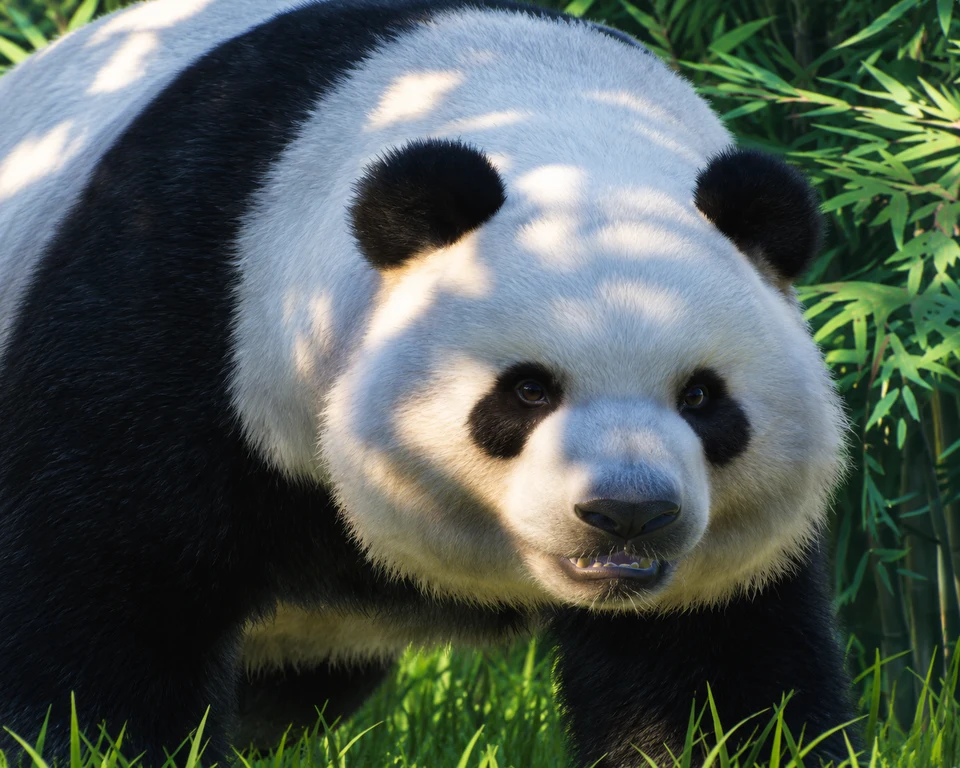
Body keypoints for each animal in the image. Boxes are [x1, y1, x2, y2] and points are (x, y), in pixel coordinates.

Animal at [0, 0, 858, 765]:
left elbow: (709, 667)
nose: (628, 513)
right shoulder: (197, 302)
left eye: (703, 398)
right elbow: (113, 587)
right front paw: (99, 745)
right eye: (527, 390)